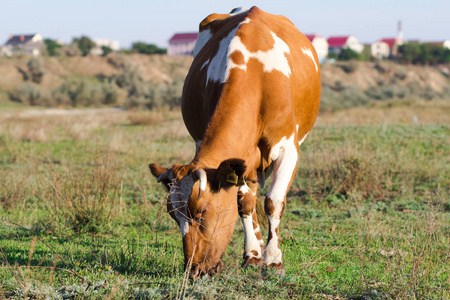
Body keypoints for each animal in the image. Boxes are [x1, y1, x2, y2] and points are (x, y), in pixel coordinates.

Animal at [149, 6, 322, 278]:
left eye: (202, 212)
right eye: (173, 215)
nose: (193, 270)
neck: (257, 79)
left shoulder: (288, 149)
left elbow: (274, 202)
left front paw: (274, 260)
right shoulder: (237, 158)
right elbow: (244, 204)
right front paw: (252, 255)